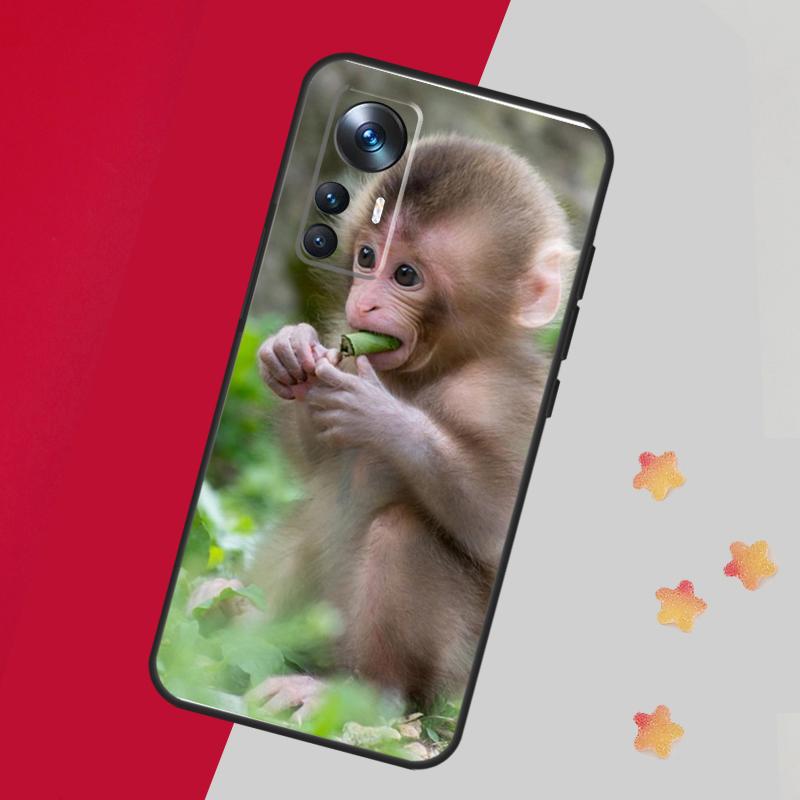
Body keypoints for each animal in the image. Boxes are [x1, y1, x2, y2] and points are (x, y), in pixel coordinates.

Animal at [223, 134, 575, 716]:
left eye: (406, 275)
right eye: (367, 256)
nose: (363, 301)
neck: (435, 367)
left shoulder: (498, 396)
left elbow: (495, 519)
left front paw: (381, 415)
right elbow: (316, 458)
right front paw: (290, 352)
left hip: (448, 671)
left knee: (398, 532)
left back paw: (366, 691)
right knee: (312, 513)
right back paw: (239, 619)